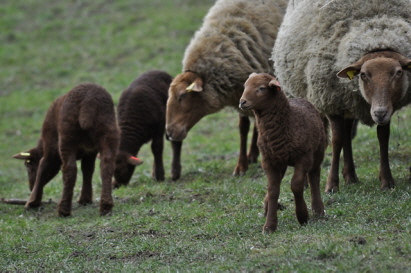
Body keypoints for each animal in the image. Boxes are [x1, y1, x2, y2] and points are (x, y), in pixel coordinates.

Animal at [12, 84, 119, 216]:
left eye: (28, 165)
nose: (31, 188)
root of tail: (88, 102)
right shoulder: (90, 152)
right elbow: (88, 170)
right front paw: (85, 199)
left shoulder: (50, 146)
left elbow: (43, 167)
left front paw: (31, 203)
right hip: (109, 132)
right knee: (107, 165)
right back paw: (106, 207)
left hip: (67, 135)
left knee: (69, 169)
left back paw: (63, 211)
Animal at [166, 0, 288, 175]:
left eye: (182, 95)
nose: (169, 133)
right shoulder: (242, 95)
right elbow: (243, 128)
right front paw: (242, 164)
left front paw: (243, 165)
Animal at [240, 73, 326, 233]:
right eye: (245, 86)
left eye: (261, 88)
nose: (242, 102)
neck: (288, 121)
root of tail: (300, 98)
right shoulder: (268, 161)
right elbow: (273, 190)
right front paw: (269, 225)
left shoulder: (304, 157)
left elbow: (296, 184)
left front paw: (302, 216)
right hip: (281, 160)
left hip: (318, 152)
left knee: (314, 177)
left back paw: (318, 210)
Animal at [272, 0, 411, 191]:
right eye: (363, 74)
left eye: (398, 72)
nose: (380, 113)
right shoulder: (331, 102)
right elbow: (337, 141)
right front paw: (331, 185)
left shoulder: (382, 107)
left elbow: (383, 137)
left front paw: (386, 181)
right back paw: (307, 182)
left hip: (349, 103)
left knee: (347, 134)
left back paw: (351, 176)